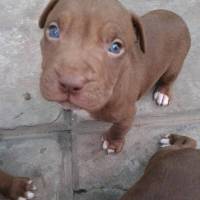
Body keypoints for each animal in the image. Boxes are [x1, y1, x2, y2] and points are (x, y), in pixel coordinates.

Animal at [39, 0, 191, 153]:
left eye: (115, 47)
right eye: (53, 31)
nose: (70, 82)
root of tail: (178, 18)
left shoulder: (127, 114)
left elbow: (119, 129)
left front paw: (112, 142)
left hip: (175, 64)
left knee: (168, 79)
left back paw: (162, 93)